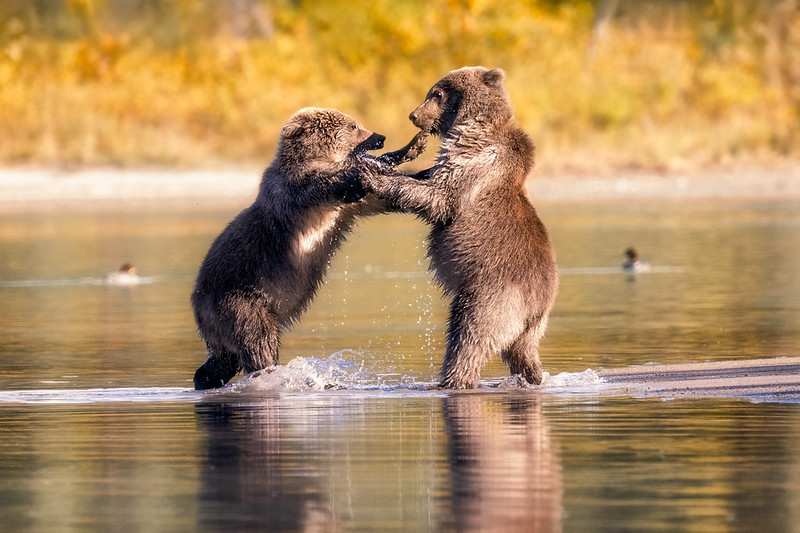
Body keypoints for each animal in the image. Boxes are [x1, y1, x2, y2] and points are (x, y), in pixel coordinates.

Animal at [191, 107, 426, 390]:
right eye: (353, 126)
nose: (379, 136)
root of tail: (197, 303)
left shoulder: (347, 208)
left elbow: (379, 195)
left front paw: (416, 155)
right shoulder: (300, 193)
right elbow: (337, 181)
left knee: (223, 360)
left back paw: (206, 378)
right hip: (240, 301)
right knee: (257, 341)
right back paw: (271, 374)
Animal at [364, 67, 559, 389]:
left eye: (436, 94)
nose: (414, 115)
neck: (473, 127)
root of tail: (537, 305)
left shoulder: (474, 162)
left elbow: (439, 197)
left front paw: (373, 177)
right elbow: (426, 177)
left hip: (491, 297)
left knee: (468, 338)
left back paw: (452, 379)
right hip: (530, 329)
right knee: (523, 354)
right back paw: (533, 377)